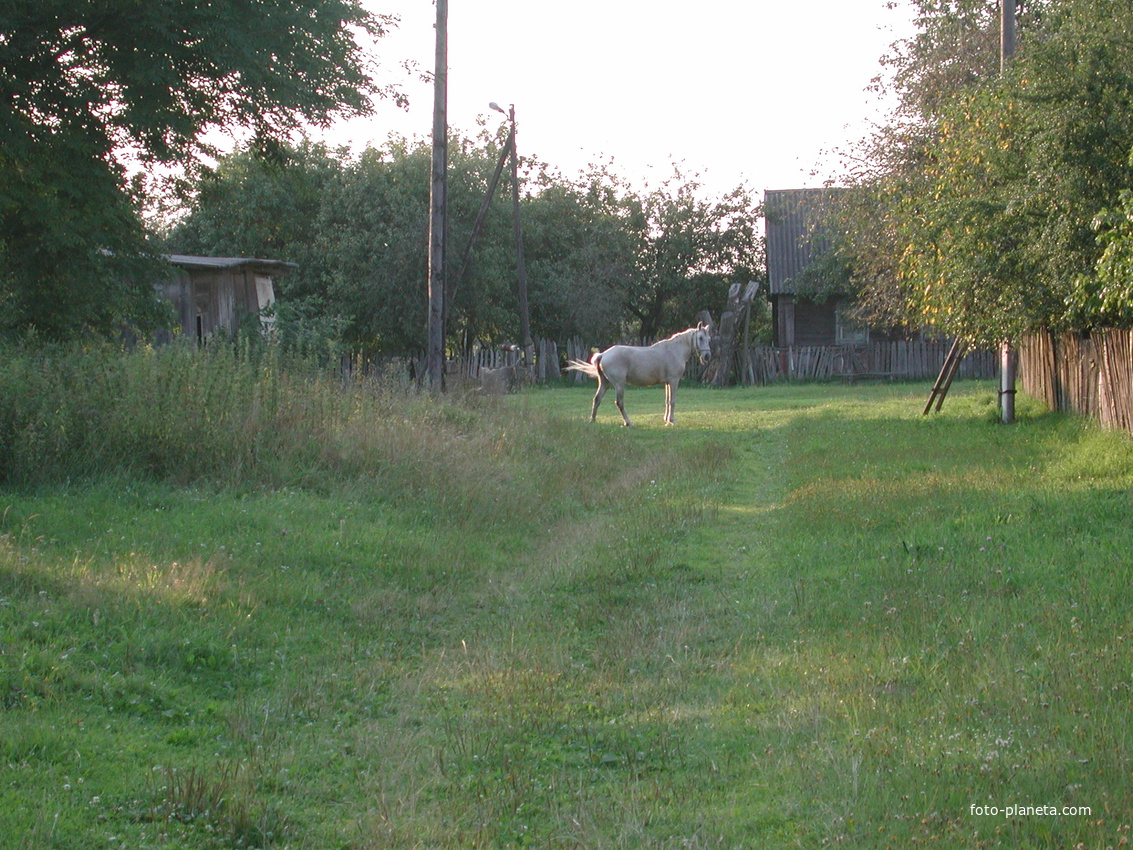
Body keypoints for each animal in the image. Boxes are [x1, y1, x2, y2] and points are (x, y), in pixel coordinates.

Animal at [564, 328, 711, 428]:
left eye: (708, 339)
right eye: (700, 338)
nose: (707, 356)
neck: (674, 351)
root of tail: (603, 355)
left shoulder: (667, 383)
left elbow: (667, 401)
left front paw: (666, 419)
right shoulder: (674, 381)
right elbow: (672, 401)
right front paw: (672, 421)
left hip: (604, 383)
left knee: (597, 399)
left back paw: (593, 420)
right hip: (619, 385)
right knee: (619, 403)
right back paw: (629, 423)